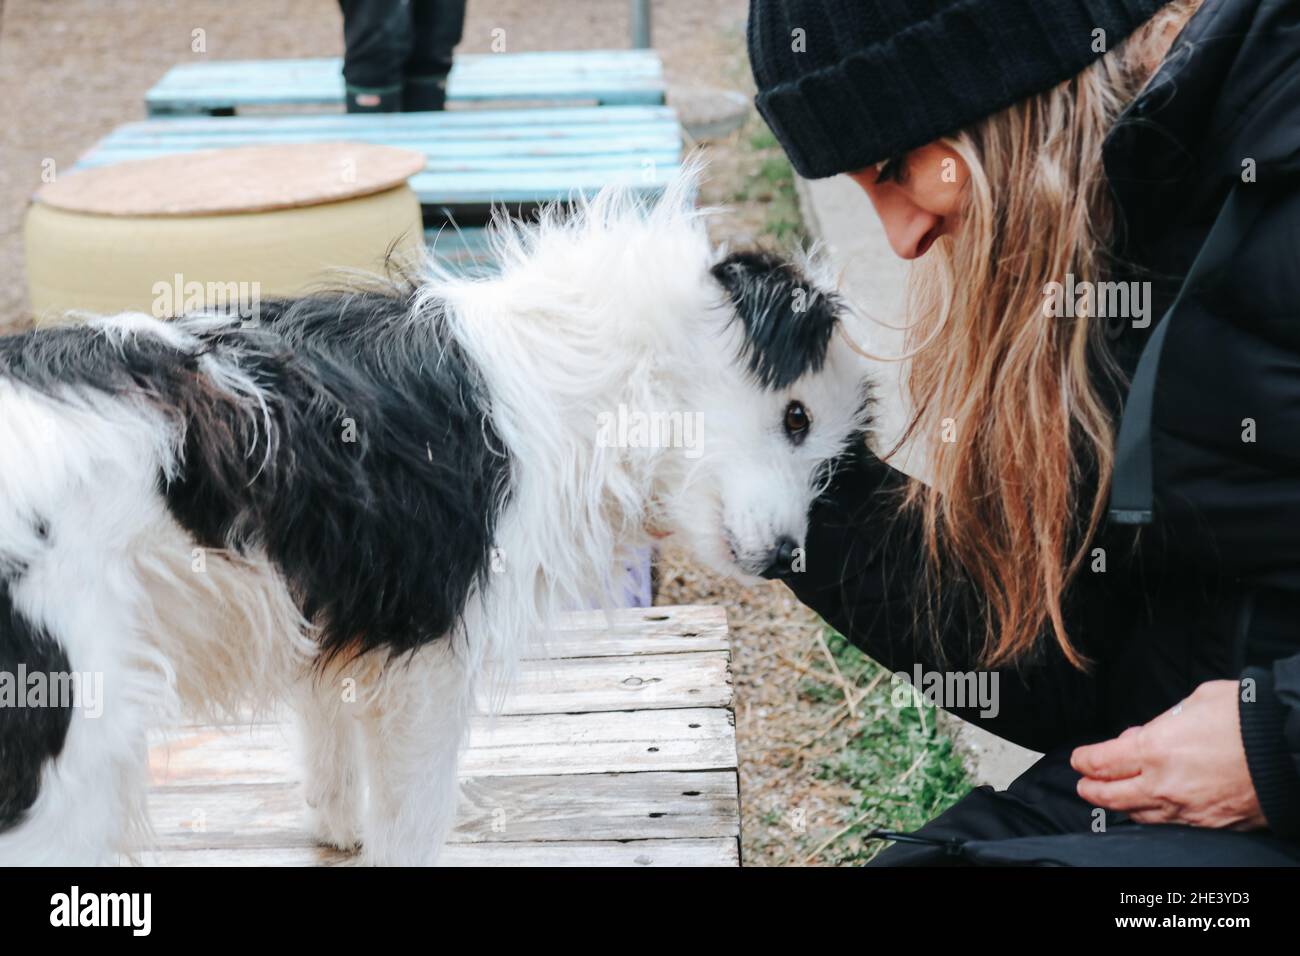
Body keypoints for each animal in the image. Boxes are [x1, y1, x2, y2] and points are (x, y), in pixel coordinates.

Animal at [2, 174, 873, 868]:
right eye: (795, 417)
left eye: (826, 452)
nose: (787, 557)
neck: (589, 374)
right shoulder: (428, 665)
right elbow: (413, 822)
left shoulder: (346, 620)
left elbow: (329, 745)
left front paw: (337, 828)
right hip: (65, 747)